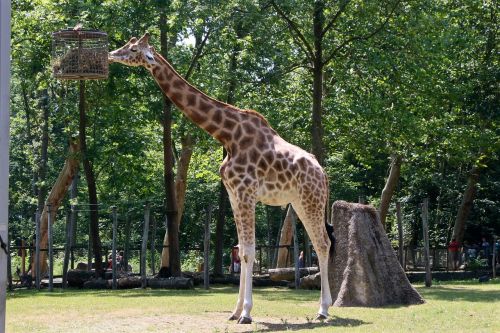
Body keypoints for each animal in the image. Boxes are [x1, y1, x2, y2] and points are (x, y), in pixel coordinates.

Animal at [110, 32, 336, 322]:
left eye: (133, 49)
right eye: (128, 45)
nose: (111, 54)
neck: (227, 135)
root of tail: (323, 173)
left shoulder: (246, 192)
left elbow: (249, 252)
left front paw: (247, 312)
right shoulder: (233, 193)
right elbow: (241, 249)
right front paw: (235, 311)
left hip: (311, 200)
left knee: (323, 243)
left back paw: (323, 309)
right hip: (298, 202)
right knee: (321, 243)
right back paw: (322, 308)